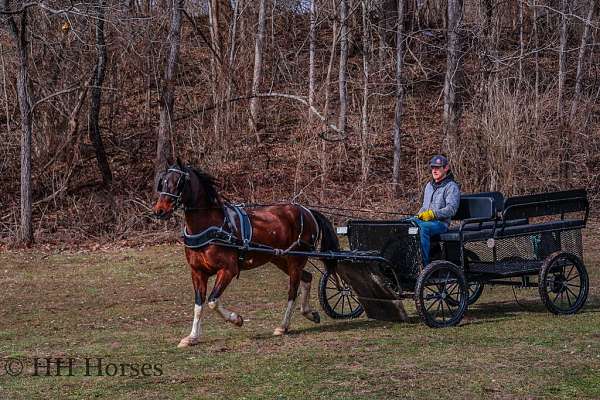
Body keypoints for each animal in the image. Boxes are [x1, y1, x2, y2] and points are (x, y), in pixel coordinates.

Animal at [152, 159, 340, 346]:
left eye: (178, 182)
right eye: (163, 182)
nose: (159, 211)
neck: (211, 226)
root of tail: (307, 211)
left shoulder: (228, 270)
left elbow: (212, 301)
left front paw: (236, 319)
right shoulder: (197, 272)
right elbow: (199, 304)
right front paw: (192, 337)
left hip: (296, 259)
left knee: (292, 292)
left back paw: (283, 326)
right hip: (280, 258)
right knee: (307, 277)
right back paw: (309, 313)